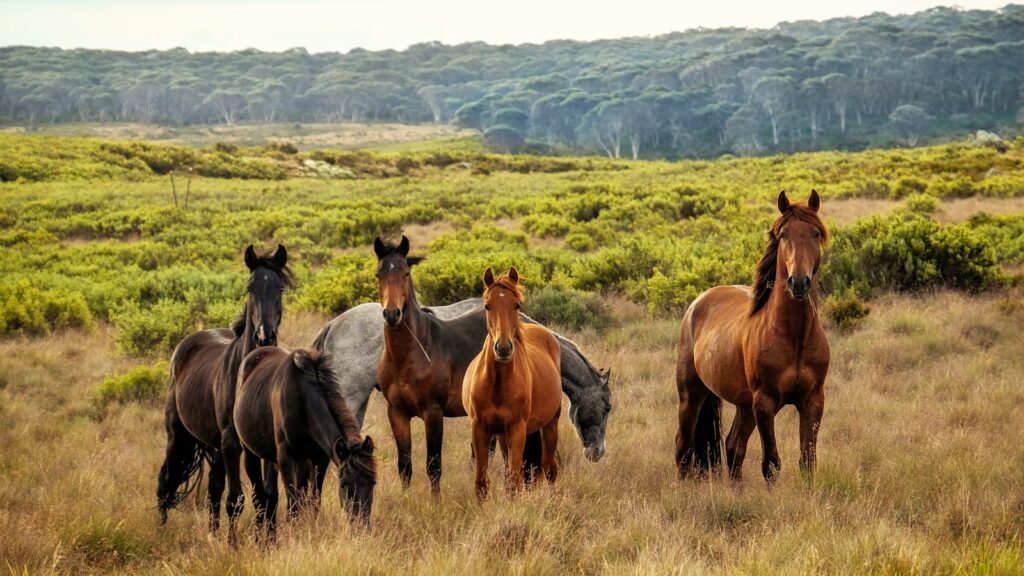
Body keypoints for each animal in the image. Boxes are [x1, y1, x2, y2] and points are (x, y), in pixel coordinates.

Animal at [156, 244, 290, 529]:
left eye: (280, 288)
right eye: (250, 288)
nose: (264, 336)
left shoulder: (262, 446)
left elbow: (267, 498)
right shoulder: (231, 443)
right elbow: (236, 500)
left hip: (214, 446)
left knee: (213, 490)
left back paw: (213, 533)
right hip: (178, 436)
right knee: (165, 482)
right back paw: (161, 531)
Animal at [232, 347, 377, 540]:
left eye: (372, 483)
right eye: (343, 485)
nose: (362, 527)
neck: (302, 398)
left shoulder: (319, 458)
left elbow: (313, 501)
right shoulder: (285, 457)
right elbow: (293, 505)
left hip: (282, 459)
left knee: (272, 495)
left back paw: (271, 538)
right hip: (251, 453)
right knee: (260, 497)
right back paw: (261, 540)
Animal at [374, 235, 494, 495]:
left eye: (406, 273)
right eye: (378, 274)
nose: (392, 314)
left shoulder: (433, 412)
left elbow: (434, 465)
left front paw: (435, 502)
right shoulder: (396, 412)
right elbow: (405, 465)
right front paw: (406, 499)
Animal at [464, 267, 562, 499]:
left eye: (516, 305)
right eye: (487, 306)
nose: (503, 348)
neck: (498, 385)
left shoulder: (517, 430)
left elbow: (514, 482)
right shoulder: (480, 428)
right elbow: (481, 482)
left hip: (550, 425)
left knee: (549, 468)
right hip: (502, 435)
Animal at [675, 190, 830, 484]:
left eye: (815, 233)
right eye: (783, 235)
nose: (799, 282)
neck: (795, 337)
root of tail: (698, 302)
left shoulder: (813, 401)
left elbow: (808, 461)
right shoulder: (765, 403)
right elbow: (771, 464)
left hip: (744, 405)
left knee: (733, 446)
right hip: (691, 395)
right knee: (683, 447)